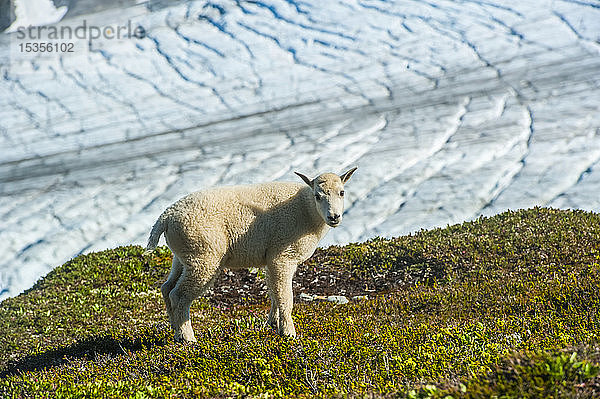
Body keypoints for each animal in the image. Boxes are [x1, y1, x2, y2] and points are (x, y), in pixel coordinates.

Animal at [146, 167, 358, 342]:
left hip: (183, 257)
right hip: (204, 257)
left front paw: (273, 324)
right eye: (317, 196)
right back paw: (187, 338)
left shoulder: (271, 259)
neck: (307, 210)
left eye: (342, 192)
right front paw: (288, 332)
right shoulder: (283, 256)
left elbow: (274, 292)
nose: (334, 217)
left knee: (167, 288)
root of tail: (165, 217)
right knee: (178, 295)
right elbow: (285, 296)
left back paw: (174, 332)